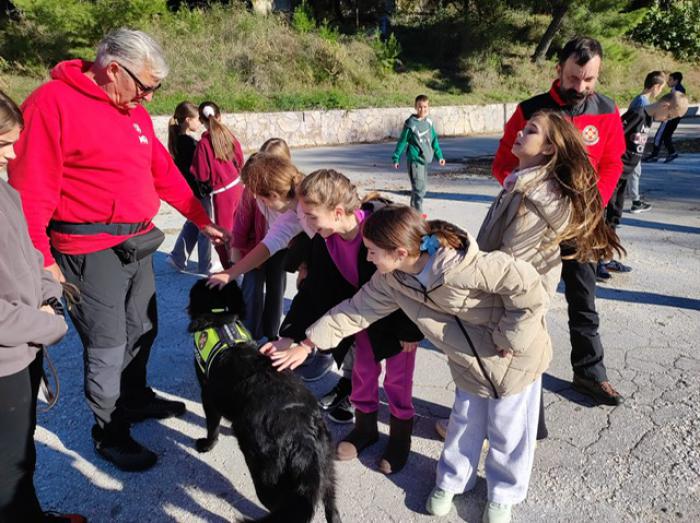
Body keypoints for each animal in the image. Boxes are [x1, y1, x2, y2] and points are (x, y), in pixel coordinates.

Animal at [187, 279, 341, 523]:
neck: (219, 316)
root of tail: (302, 435)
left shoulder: (208, 395)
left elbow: (212, 426)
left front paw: (207, 445)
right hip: (327, 469)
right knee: (332, 508)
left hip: (267, 479)